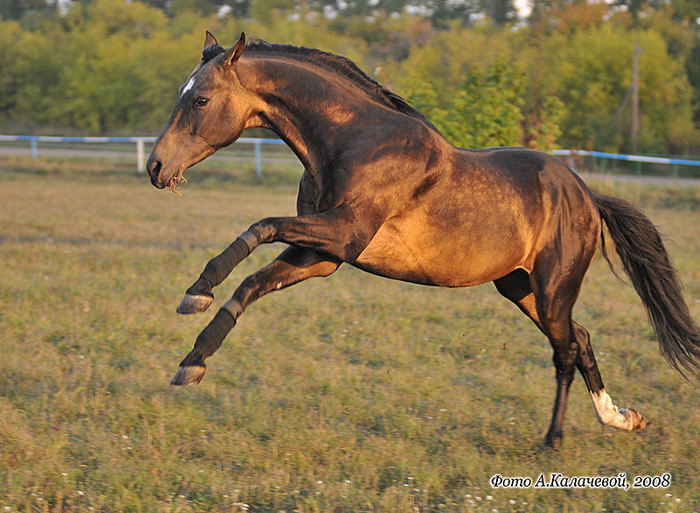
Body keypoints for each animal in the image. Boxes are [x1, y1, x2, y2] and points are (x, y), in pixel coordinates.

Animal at [145, 33, 696, 448]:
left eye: (200, 99)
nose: (155, 167)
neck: (353, 139)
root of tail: (586, 196)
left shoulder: (343, 234)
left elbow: (258, 227)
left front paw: (196, 294)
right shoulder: (322, 255)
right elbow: (251, 284)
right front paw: (193, 359)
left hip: (553, 286)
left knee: (564, 351)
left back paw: (553, 440)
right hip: (521, 288)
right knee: (579, 340)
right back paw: (621, 418)